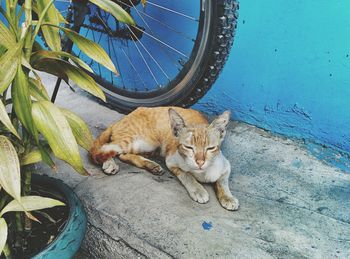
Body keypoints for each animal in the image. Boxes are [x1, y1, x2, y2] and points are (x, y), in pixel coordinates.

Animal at [89, 107, 239, 211]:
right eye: (188, 147)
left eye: (210, 148)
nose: (200, 162)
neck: (202, 173)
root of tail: (124, 118)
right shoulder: (172, 162)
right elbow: (187, 176)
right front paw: (198, 190)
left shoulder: (226, 166)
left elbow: (222, 182)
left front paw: (228, 197)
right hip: (144, 141)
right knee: (103, 149)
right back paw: (109, 164)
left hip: (148, 146)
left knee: (122, 154)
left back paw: (151, 165)